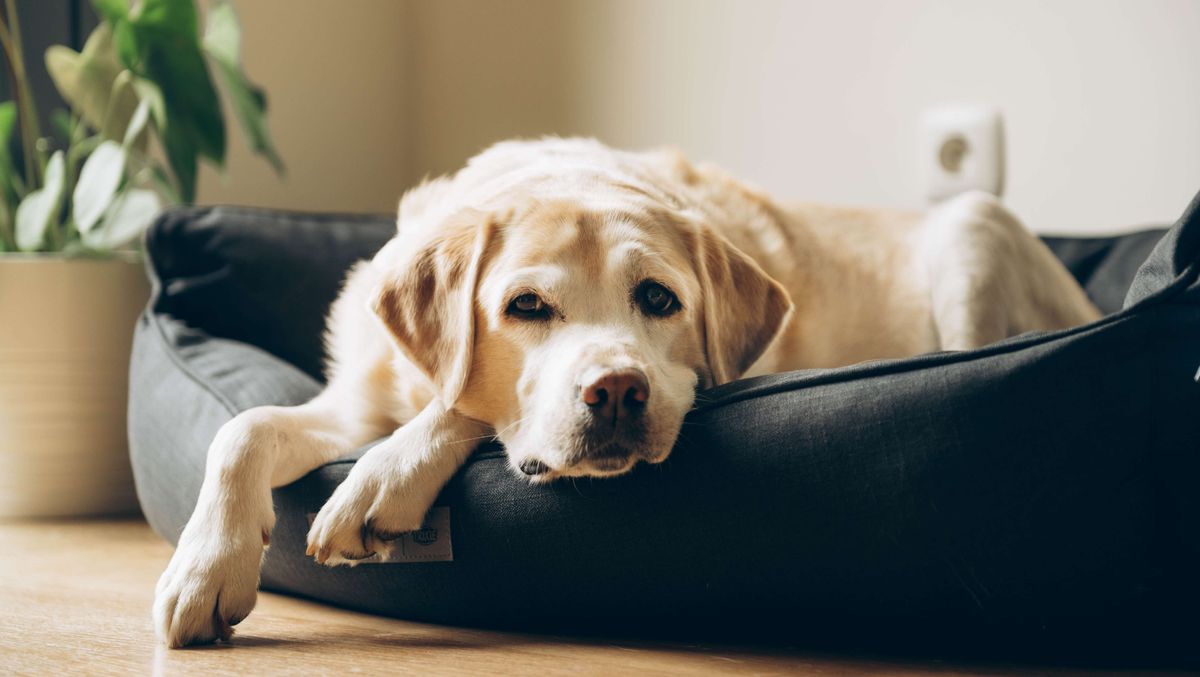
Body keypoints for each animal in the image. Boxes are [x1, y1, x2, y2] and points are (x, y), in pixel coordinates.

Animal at [154, 136, 1099, 643]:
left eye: (659, 299)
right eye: (525, 307)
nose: (614, 391)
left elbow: (463, 408)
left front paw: (383, 478)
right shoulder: (354, 400)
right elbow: (242, 429)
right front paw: (205, 567)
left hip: (973, 225)